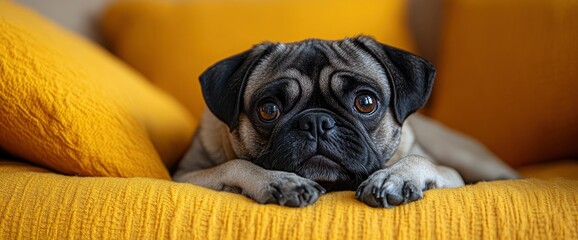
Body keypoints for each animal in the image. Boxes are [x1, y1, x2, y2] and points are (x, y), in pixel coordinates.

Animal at [172, 36, 516, 208]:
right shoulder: (184, 175)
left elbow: (419, 160)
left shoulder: (450, 173)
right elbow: (235, 165)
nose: (316, 122)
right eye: (268, 109)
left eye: (365, 103)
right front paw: (280, 181)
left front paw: (394, 177)